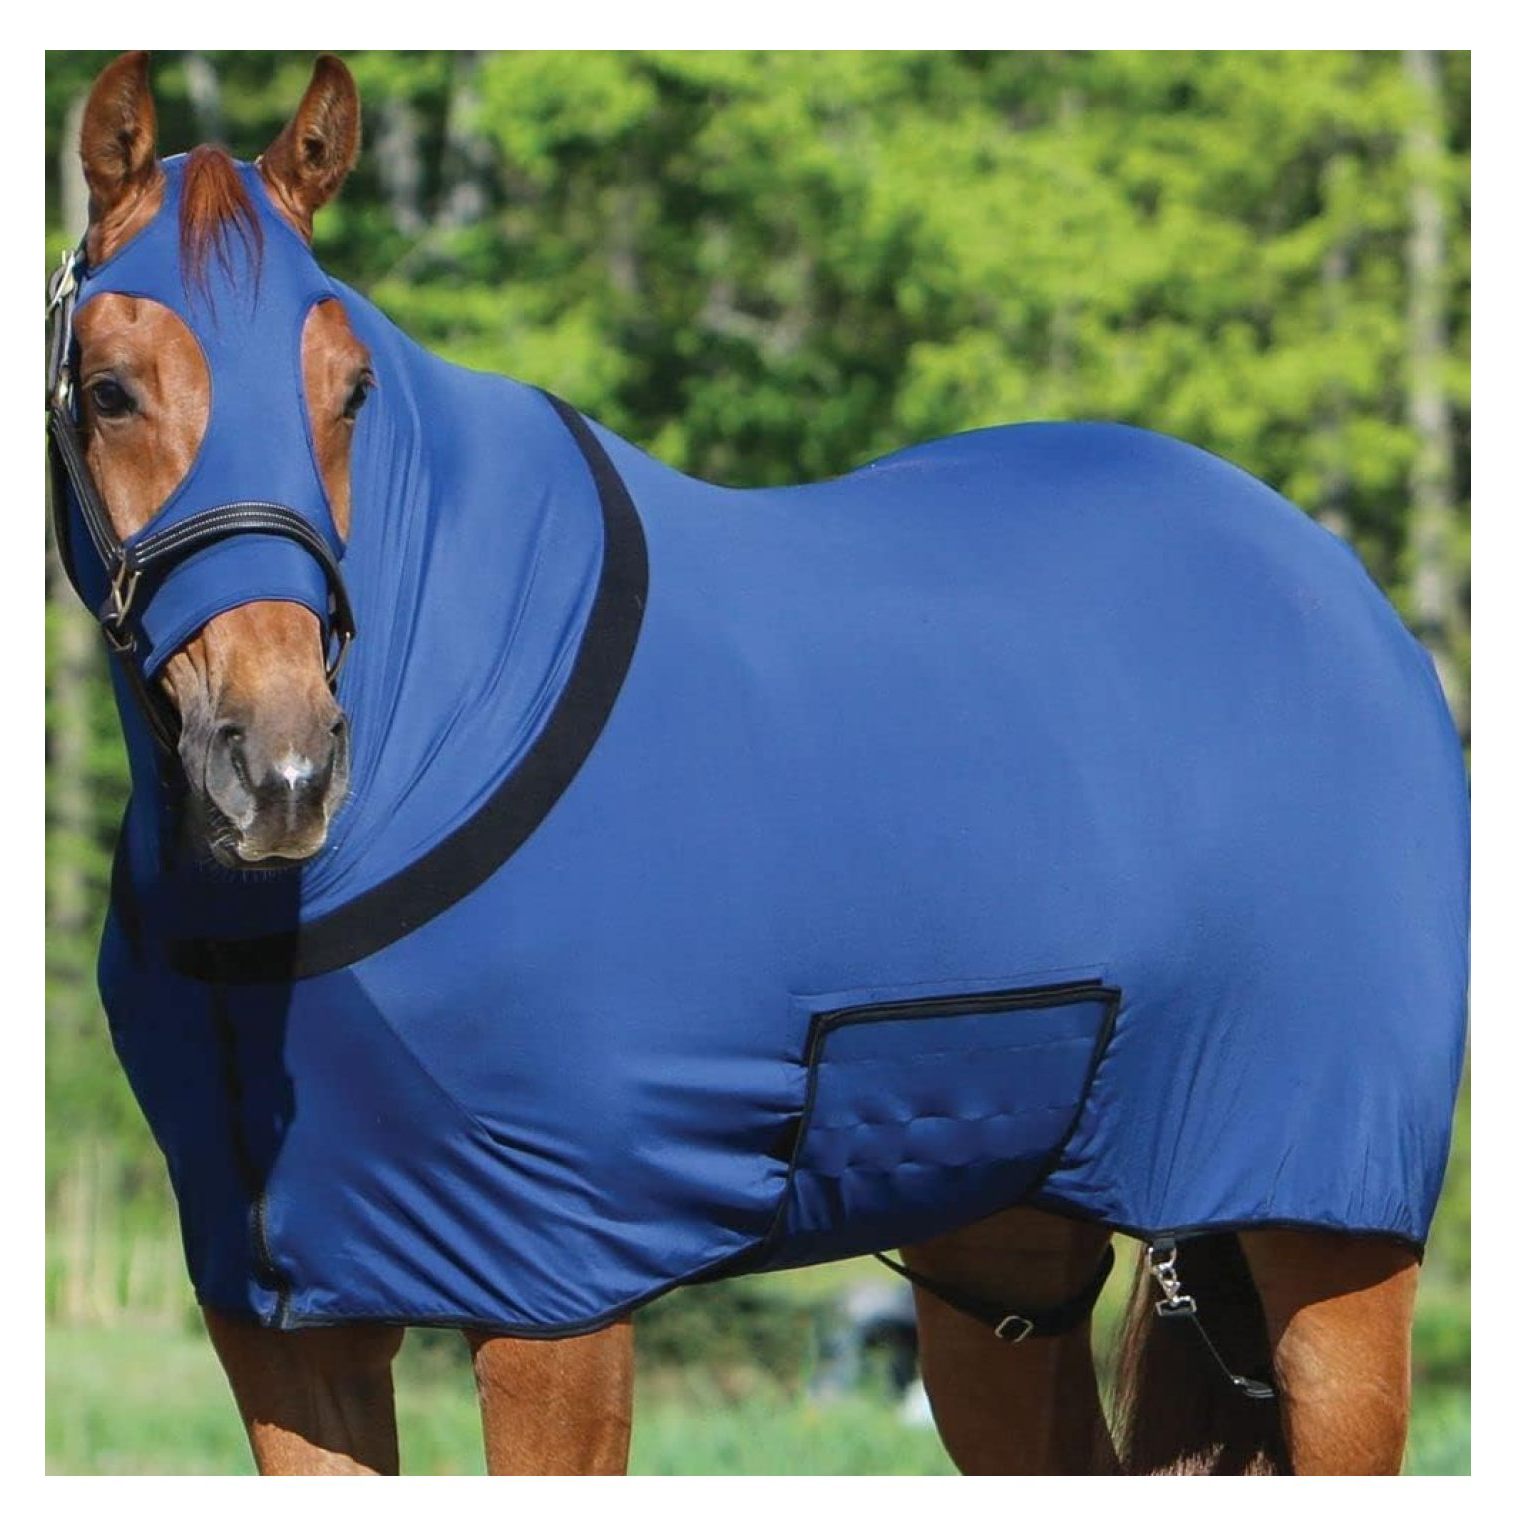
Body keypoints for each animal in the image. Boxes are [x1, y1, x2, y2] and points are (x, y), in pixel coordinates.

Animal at [48, 52, 1467, 1475]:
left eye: (349, 388)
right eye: (109, 387)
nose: (279, 772)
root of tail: (1339, 594)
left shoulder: (554, 1294)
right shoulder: (282, 1311)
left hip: (1323, 1242)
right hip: (1005, 1245)